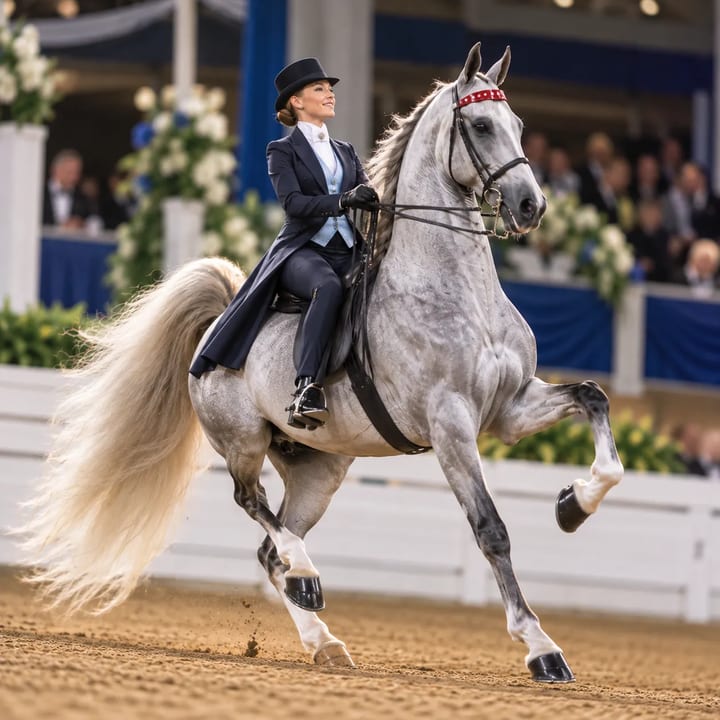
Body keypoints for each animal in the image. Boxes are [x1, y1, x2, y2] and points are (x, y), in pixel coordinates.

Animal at [17, 43, 624, 682]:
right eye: (481, 126)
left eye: (519, 125)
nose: (532, 206)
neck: (458, 291)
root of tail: (216, 325)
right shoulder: (451, 423)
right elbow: (491, 530)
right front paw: (541, 647)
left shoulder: (510, 407)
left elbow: (594, 399)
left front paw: (574, 505)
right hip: (242, 441)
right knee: (254, 507)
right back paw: (308, 578)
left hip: (319, 471)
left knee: (270, 548)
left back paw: (322, 638)